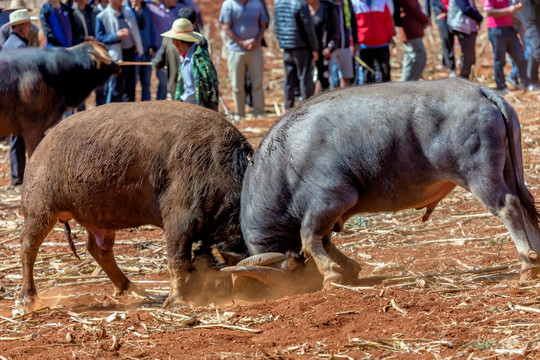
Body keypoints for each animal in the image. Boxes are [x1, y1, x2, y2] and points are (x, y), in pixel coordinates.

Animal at [20, 101, 253, 306]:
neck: (216, 166)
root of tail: (43, 144)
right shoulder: (178, 221)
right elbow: (178, 260)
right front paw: (177, 299)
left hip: (102, 220)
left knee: (99, 249)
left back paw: (129, 287)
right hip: (40, 211)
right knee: (28, 247)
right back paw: (29, 297)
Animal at [231, 78, 540, 290]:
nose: (303, 288)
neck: (284, 161)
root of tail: (480, 91)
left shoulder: (333, 198)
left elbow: (309, 237)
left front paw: (331, 275)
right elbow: (324, 240)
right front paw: (348, 268)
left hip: (480, 176)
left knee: (509, 206)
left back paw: (526, 263)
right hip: (511, 171)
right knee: (527, 205)